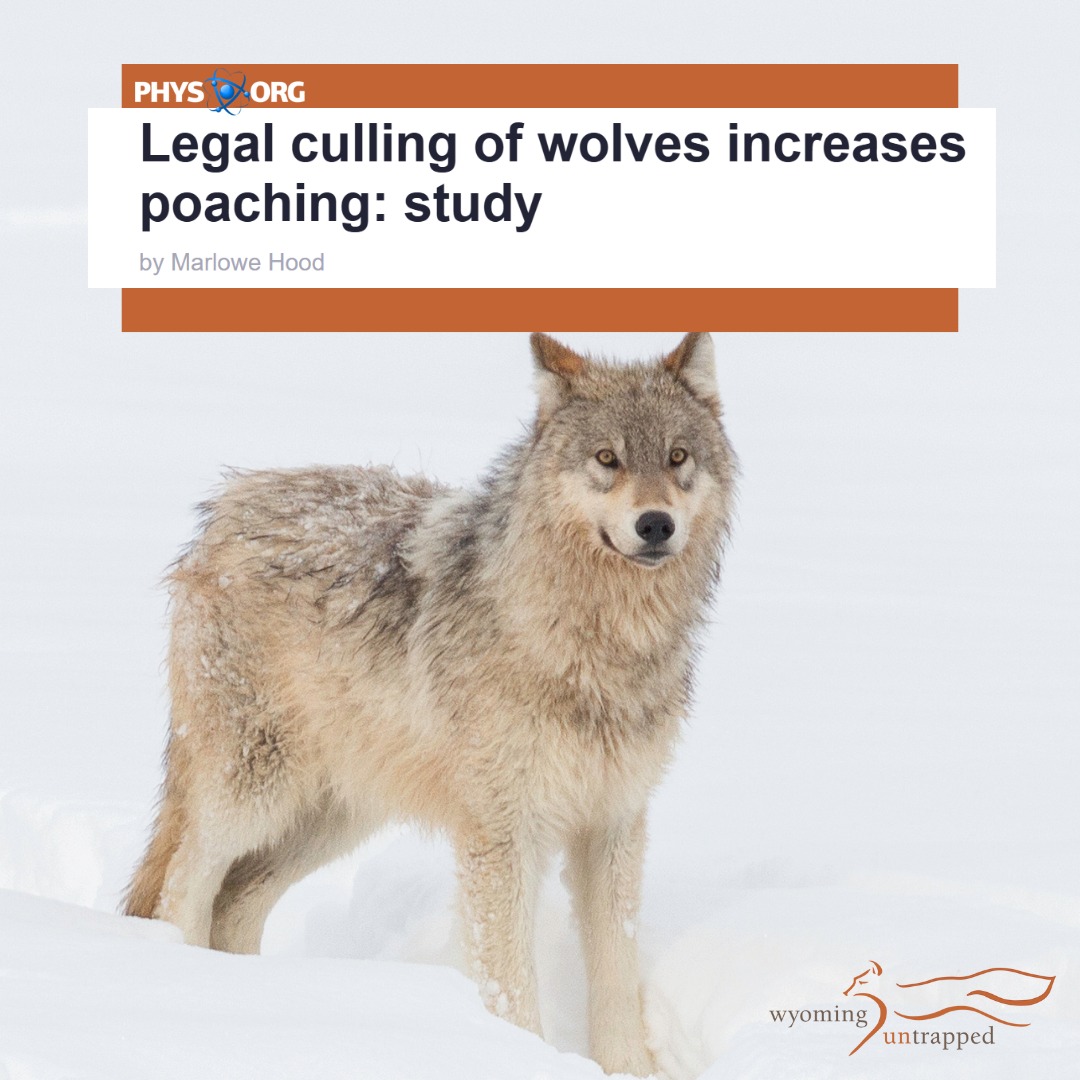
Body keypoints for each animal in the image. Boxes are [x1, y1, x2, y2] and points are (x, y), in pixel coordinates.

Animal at [125, 331, 737, 1076]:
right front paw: (518, 1056)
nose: (655, 525)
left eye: (678, 457)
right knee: (182, 883)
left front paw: (627, 1069)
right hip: (254, 792)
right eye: (607, 459)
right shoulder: (503, 832)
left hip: (335, 815)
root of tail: (228, 504)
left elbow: (617, 975)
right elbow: (510, 980)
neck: (591, 641)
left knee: (236, 901)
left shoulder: (614, 823)